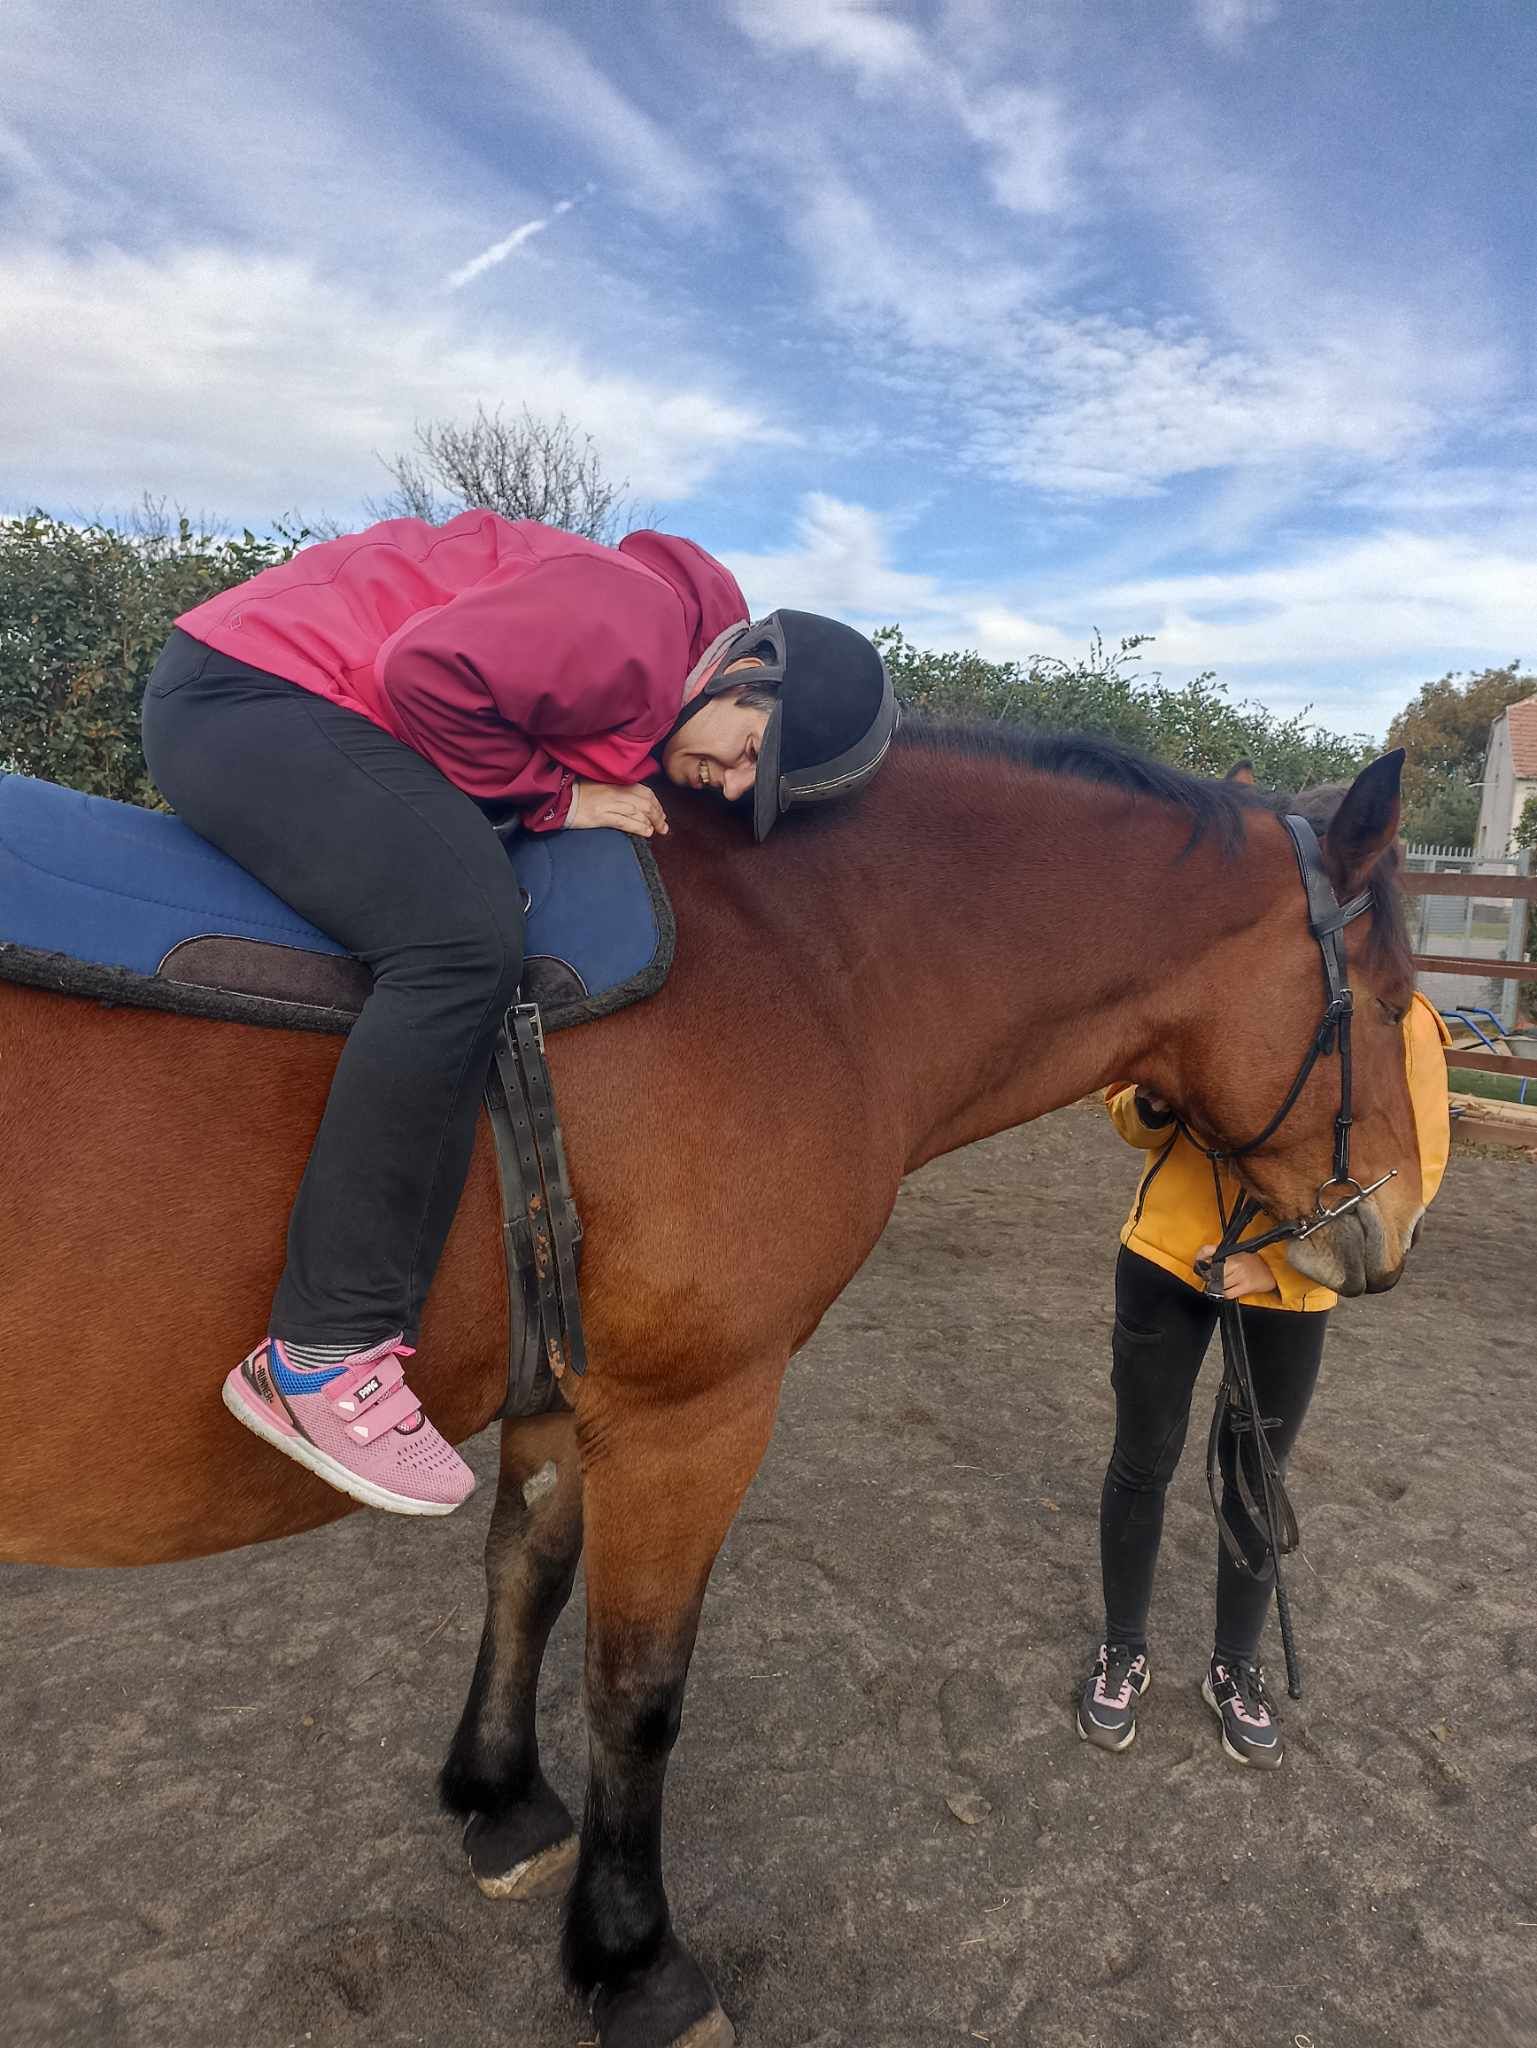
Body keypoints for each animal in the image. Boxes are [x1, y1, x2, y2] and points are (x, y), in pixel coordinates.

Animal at [0, 725, 1422, 2048]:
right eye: (1391, 995)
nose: (1394, 1225)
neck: (805, 958)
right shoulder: (693, 1418)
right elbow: (637, 1693)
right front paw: (633, 1961)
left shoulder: (570, 1396)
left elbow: (525, 1576)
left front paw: (500, 1803)